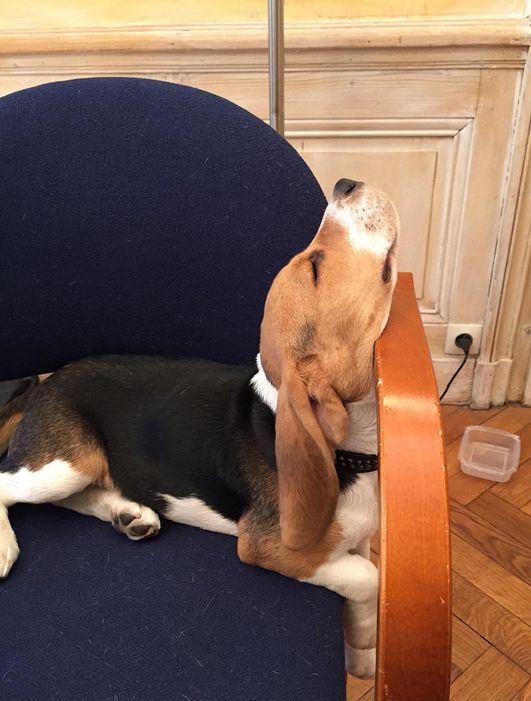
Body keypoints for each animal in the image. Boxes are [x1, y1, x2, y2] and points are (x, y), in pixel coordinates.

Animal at [0, 179, 400, 680]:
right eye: (315, 267)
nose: (346, 185)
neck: (349, 452)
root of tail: (47, 381)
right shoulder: (269, 547)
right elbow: (370, 576)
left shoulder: (356, 540)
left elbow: (364, 579)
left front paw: (362, 653)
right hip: (61, 465)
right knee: (5, 484)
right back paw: (6, 545)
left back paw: (129, 514)